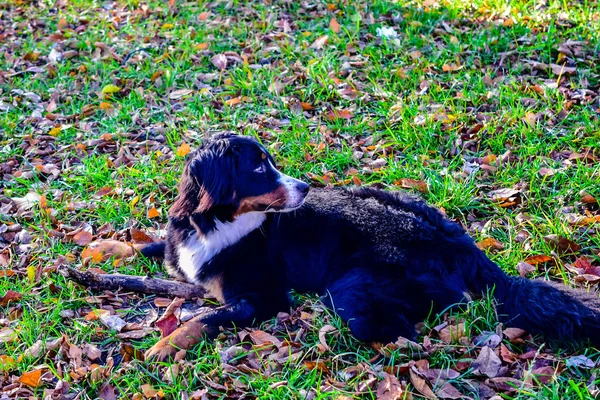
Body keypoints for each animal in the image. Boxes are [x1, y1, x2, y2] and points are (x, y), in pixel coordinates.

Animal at [143, 133, 600, 360]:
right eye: (258, 168)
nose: (305, 187)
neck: (215, 223)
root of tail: (461, 243)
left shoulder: (263, 296)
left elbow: (206, 317)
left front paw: (164, 346)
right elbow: (148, 247)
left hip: (352, 289)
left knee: (409, 329)